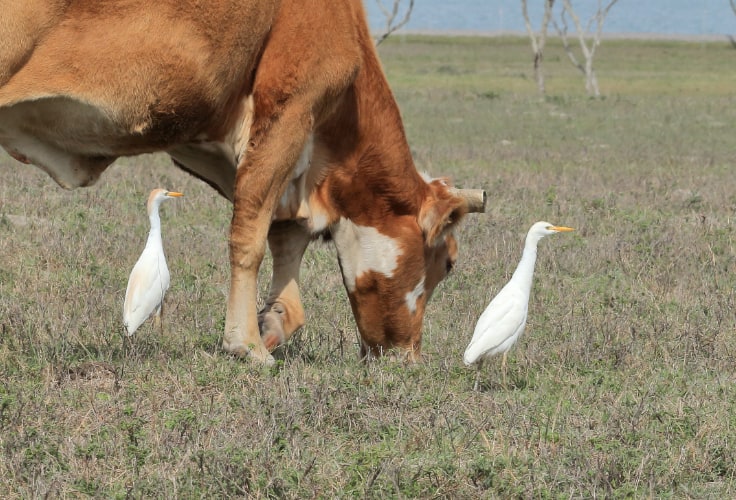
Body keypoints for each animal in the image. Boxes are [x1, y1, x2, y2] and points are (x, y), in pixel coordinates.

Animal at [0, 0, 486, 364]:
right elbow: (250, 237)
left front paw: (271, 323)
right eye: (448, 262)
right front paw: (246, 345)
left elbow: (286, 246)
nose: (408, 354)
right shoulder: (289, 112)